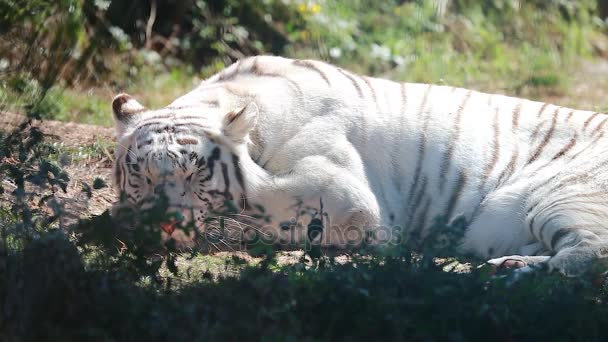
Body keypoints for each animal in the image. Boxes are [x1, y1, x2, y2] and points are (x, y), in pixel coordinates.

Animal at [111, 55, 608, 276]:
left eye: (196, 173)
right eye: (140, 175)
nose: (164, 224)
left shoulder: (347, 197)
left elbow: (260, 199)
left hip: (562, 196)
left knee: (591, 252)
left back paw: (524, 271)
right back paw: (509, 263)